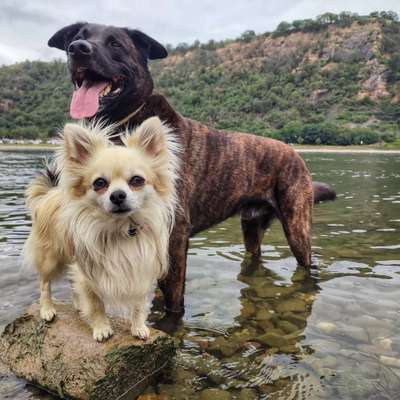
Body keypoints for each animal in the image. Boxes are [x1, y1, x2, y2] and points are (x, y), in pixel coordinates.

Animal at [25, 118, 180, 340]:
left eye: (137, 180)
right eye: (99, 183)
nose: (117, 195)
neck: (121, 229)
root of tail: (49, 193)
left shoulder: (142, 269)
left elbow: (139, 303)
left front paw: (139, 327)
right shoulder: (87, 273)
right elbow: (96, 303)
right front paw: (101, 328)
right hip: (50, 258)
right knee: (44, 283)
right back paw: (47, 309)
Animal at [48, 22, 336, 316]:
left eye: (115, 43)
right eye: (77, 37)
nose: (77, 49)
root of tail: (295, 153)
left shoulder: (175, 232)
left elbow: (174, 300)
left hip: (297, 227)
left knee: (307, 261)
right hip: (251, 226)